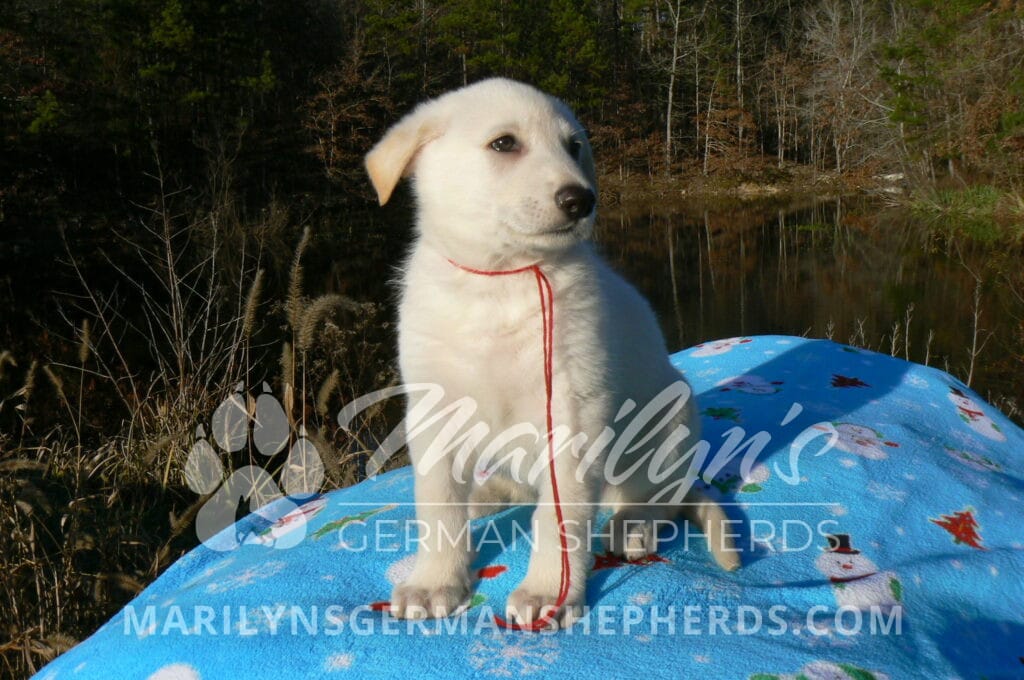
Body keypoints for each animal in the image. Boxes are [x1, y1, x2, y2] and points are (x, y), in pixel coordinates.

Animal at [365, 78, 738, 627]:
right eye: (504, 143)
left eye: (574, 146)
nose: (581, 200)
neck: (500, 282)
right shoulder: (435, 410)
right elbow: (438, 505)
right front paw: (435, 581)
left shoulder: (572, 415)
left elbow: (558, 519)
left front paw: (548, 592)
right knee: (519, 487)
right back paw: (487, 496)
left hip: (670, 420)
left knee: (659, 498)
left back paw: (632, 525)